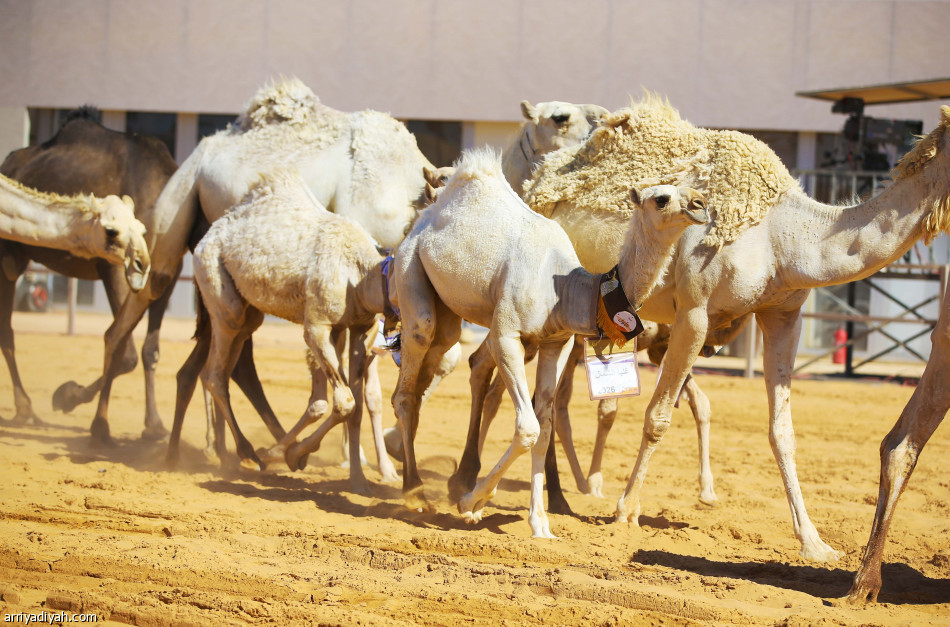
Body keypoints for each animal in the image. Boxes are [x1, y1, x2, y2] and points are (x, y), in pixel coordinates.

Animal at [386, 147, 708, 536]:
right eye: (661, 198)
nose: (701, 203)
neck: (566, 289)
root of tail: (422, 221)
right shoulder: (506, 333)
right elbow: (528, 428)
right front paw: (471, 503)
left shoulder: (557, 343)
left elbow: (544, 428)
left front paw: (540, 523)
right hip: (409, 270)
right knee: (409, 378)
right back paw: (415, 493)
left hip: (446, 309)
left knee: (427, 372)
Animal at [524, 97, 950, 560]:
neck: (784, 236)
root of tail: (534, 178)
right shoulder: (695, 312)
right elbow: (658, 417)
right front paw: (625, 511)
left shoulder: (784, 315)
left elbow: (783, 432)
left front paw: (815, 542)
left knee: (555, 396)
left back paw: (559, 496)